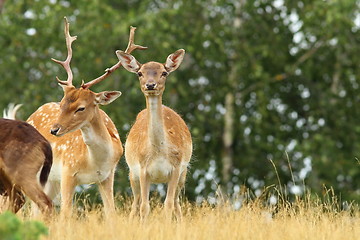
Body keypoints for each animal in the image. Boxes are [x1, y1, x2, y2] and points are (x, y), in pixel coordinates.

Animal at [26, 16, 147, 216]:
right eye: (62, 103)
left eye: (81, 108)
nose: (54, 129)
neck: (94, 162)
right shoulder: (67, 171)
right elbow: (66, 214)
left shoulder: (107, 176)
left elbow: (111, 214)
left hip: (49, 180)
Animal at [116, 47, 193, 220]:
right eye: (140, 73)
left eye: (164, 72)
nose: (150, 85)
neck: (158, 152)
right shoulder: (143, 169)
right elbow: (144, 206)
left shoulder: (176, 168)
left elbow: (168, 205)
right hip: (132, 175)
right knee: (135, 204)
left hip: (183, 174)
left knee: (177, 204)